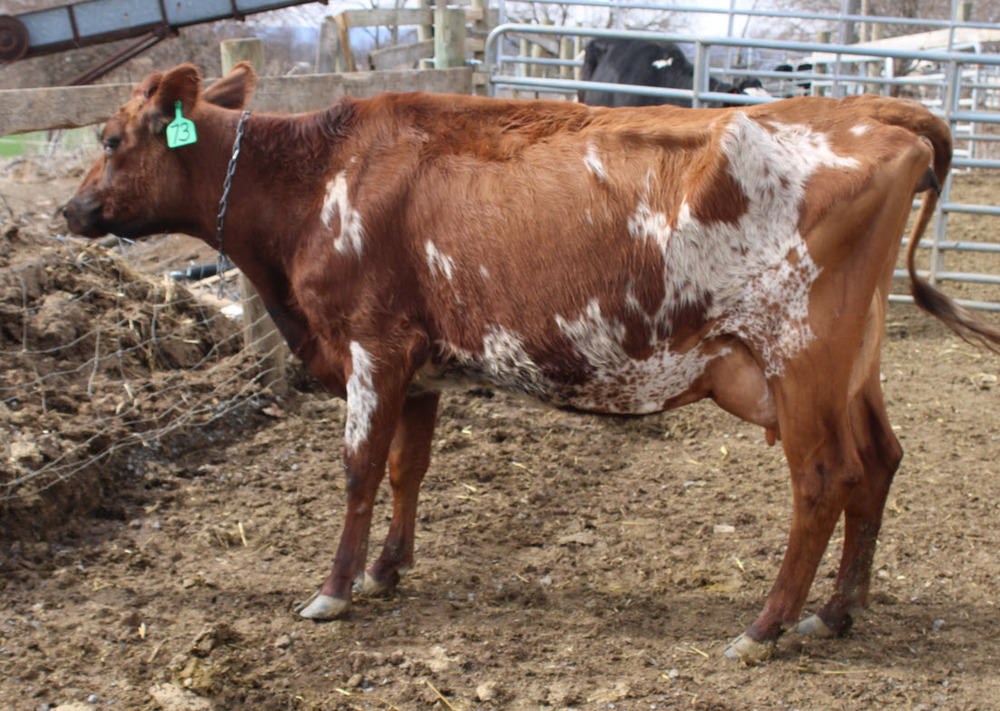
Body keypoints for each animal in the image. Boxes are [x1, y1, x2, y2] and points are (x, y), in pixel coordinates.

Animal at [65, 62, 1000, 662]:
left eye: (109, 138)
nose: (70, 212)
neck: (319, 176)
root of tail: (878, 110)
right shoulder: (419, 363)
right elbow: (407, 469)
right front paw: (387, 570)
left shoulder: (371, 345)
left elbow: (360, 470)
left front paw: (334, 587)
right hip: (852, 363)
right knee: (879, 462)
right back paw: (837, 610)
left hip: (800, 359)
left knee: (822, 481)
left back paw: (766, 625)